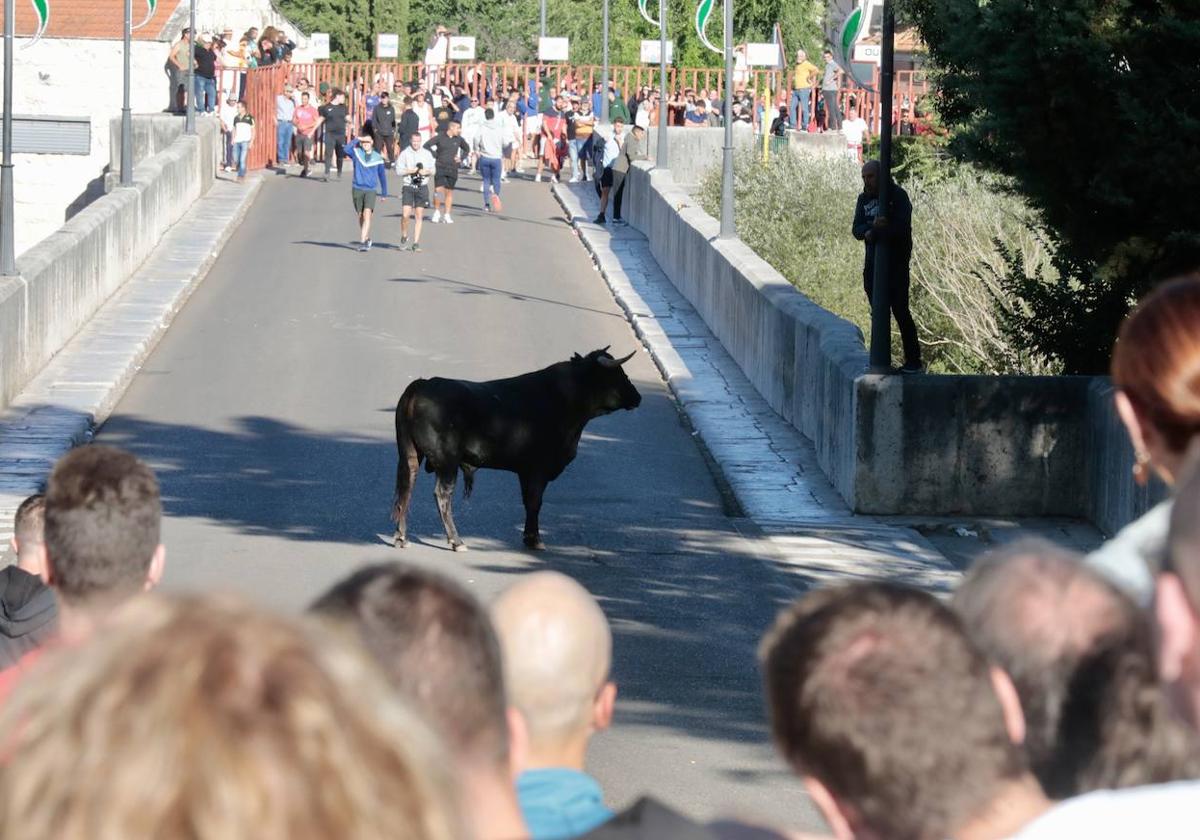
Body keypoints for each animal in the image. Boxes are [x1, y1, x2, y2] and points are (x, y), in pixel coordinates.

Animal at [393, 348, 643, 552]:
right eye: (617, 374)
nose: (637, 397)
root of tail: (423, 384)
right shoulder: (538, 469)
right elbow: (535, 501)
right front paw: (535, 539)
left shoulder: (525, 470)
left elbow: (528, 501)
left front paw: (529, 537)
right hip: (447, 461)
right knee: (442, 494)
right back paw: (457, 541)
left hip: (411, 454)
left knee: (407, 486)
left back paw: (402, 537)